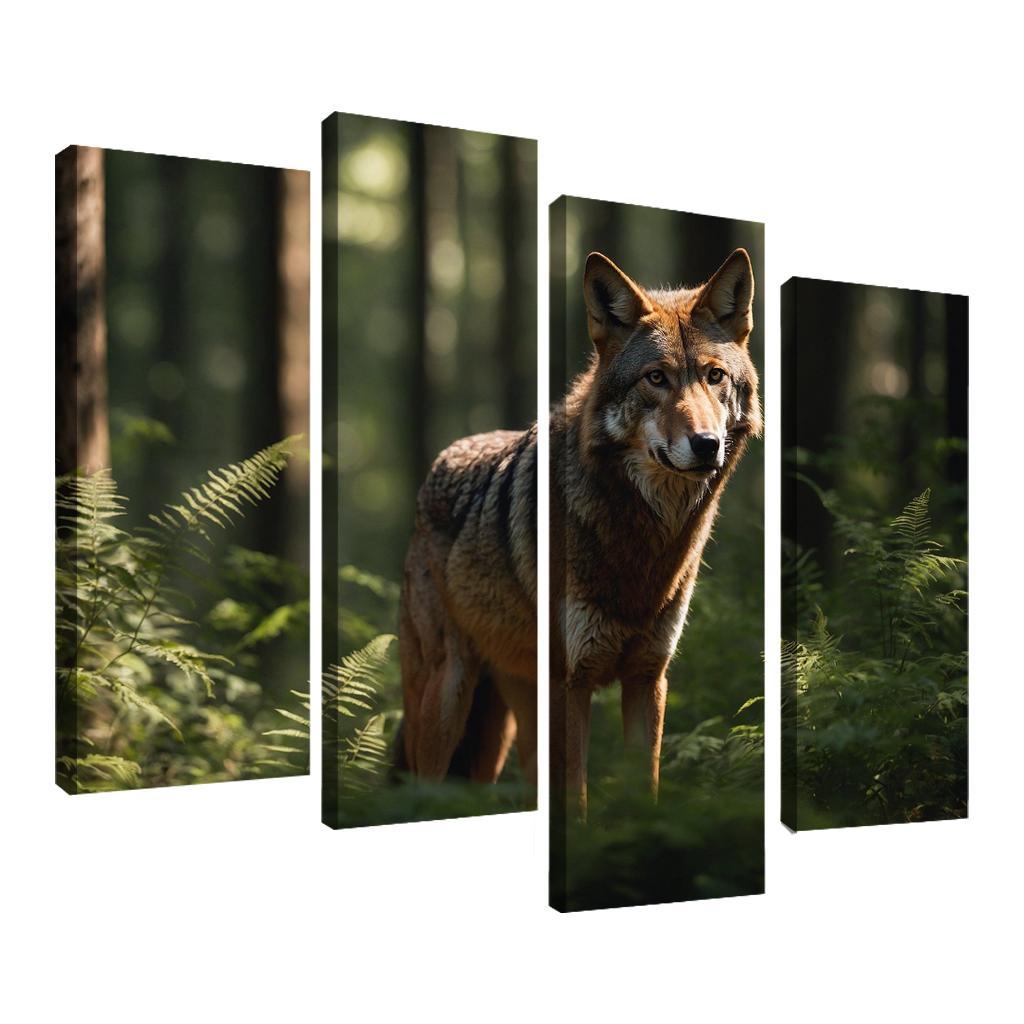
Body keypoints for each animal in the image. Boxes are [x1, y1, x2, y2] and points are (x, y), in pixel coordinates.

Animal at [551, 248, 761, 816]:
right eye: (656, 378)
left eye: (714, 376)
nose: (707, 444)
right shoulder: (569, 683)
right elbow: (575, 798)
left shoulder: (649, 676)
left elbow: (644, 786)